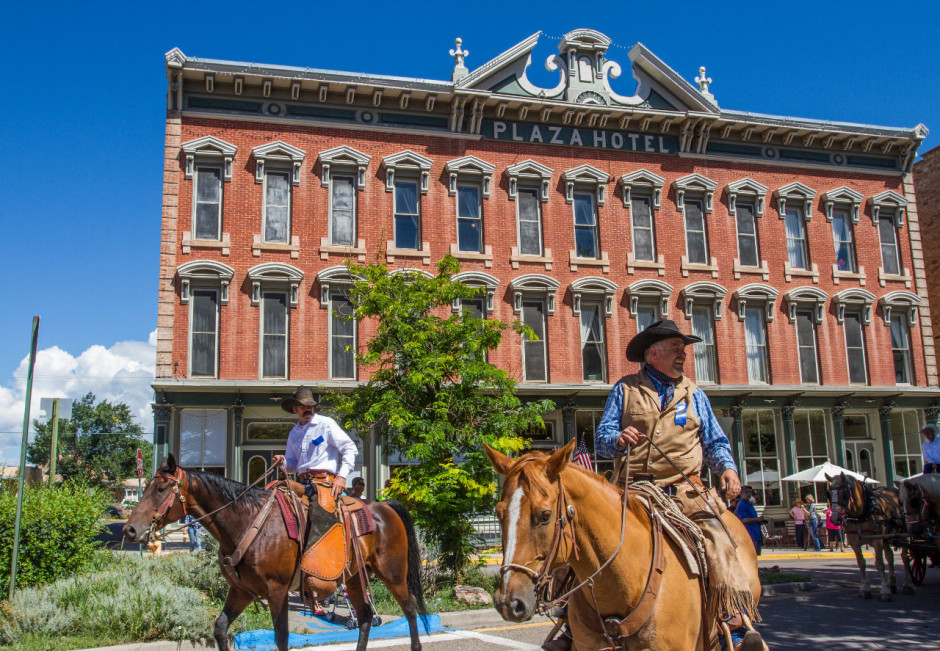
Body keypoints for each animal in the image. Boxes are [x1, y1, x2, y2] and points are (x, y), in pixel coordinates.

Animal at [123, 456, 424, 651]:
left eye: (161, 489)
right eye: (146, 487)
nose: (129, 529)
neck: (247, 521)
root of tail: (385, 506)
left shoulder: (277, 589)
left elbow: (281, 636)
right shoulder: (241, 590)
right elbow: (220, 628)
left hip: (392, 573)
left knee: (410, 609)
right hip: (353, 577)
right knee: (364, 618)